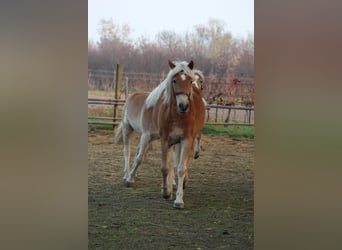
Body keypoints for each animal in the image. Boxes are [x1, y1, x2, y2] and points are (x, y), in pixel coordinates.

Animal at [115, 59, 206, 208]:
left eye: (191, 81)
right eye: (174, 80)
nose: (183, 105)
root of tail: (131, 95)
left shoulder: (183, 139)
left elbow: (179, 167)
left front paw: (178, 198)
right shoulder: (153, 137)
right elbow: (147, 161)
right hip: (128, 130)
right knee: (127, 152)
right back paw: (127, 175)